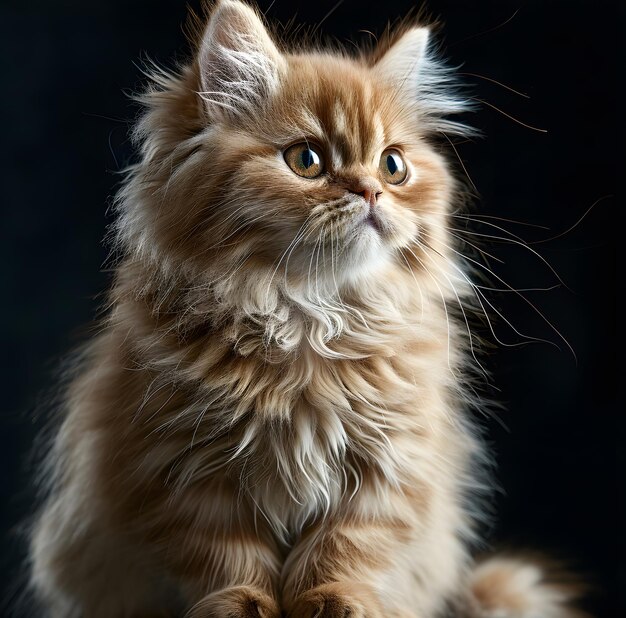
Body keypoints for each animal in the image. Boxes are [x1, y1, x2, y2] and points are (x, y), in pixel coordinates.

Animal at [25, 1, 580, 616]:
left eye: (393, 167)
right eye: (306, 160)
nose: (370, 191)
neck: (308, 317)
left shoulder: (386, 466)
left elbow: (344, 546)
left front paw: (335, 599)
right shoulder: (185, 469)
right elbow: (226, 556)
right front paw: (242, 604)